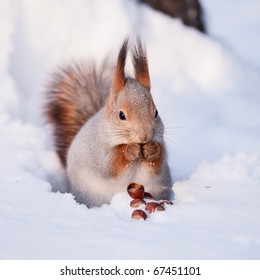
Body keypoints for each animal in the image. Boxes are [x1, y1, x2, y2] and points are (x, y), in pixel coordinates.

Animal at [45, 37, 173, 208]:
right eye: (121, 115)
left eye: (156, 112)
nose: (144, 136)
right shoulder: (98, 151)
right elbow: (110, 165)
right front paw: (129, 150)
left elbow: (159, 162)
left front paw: (152, 149)